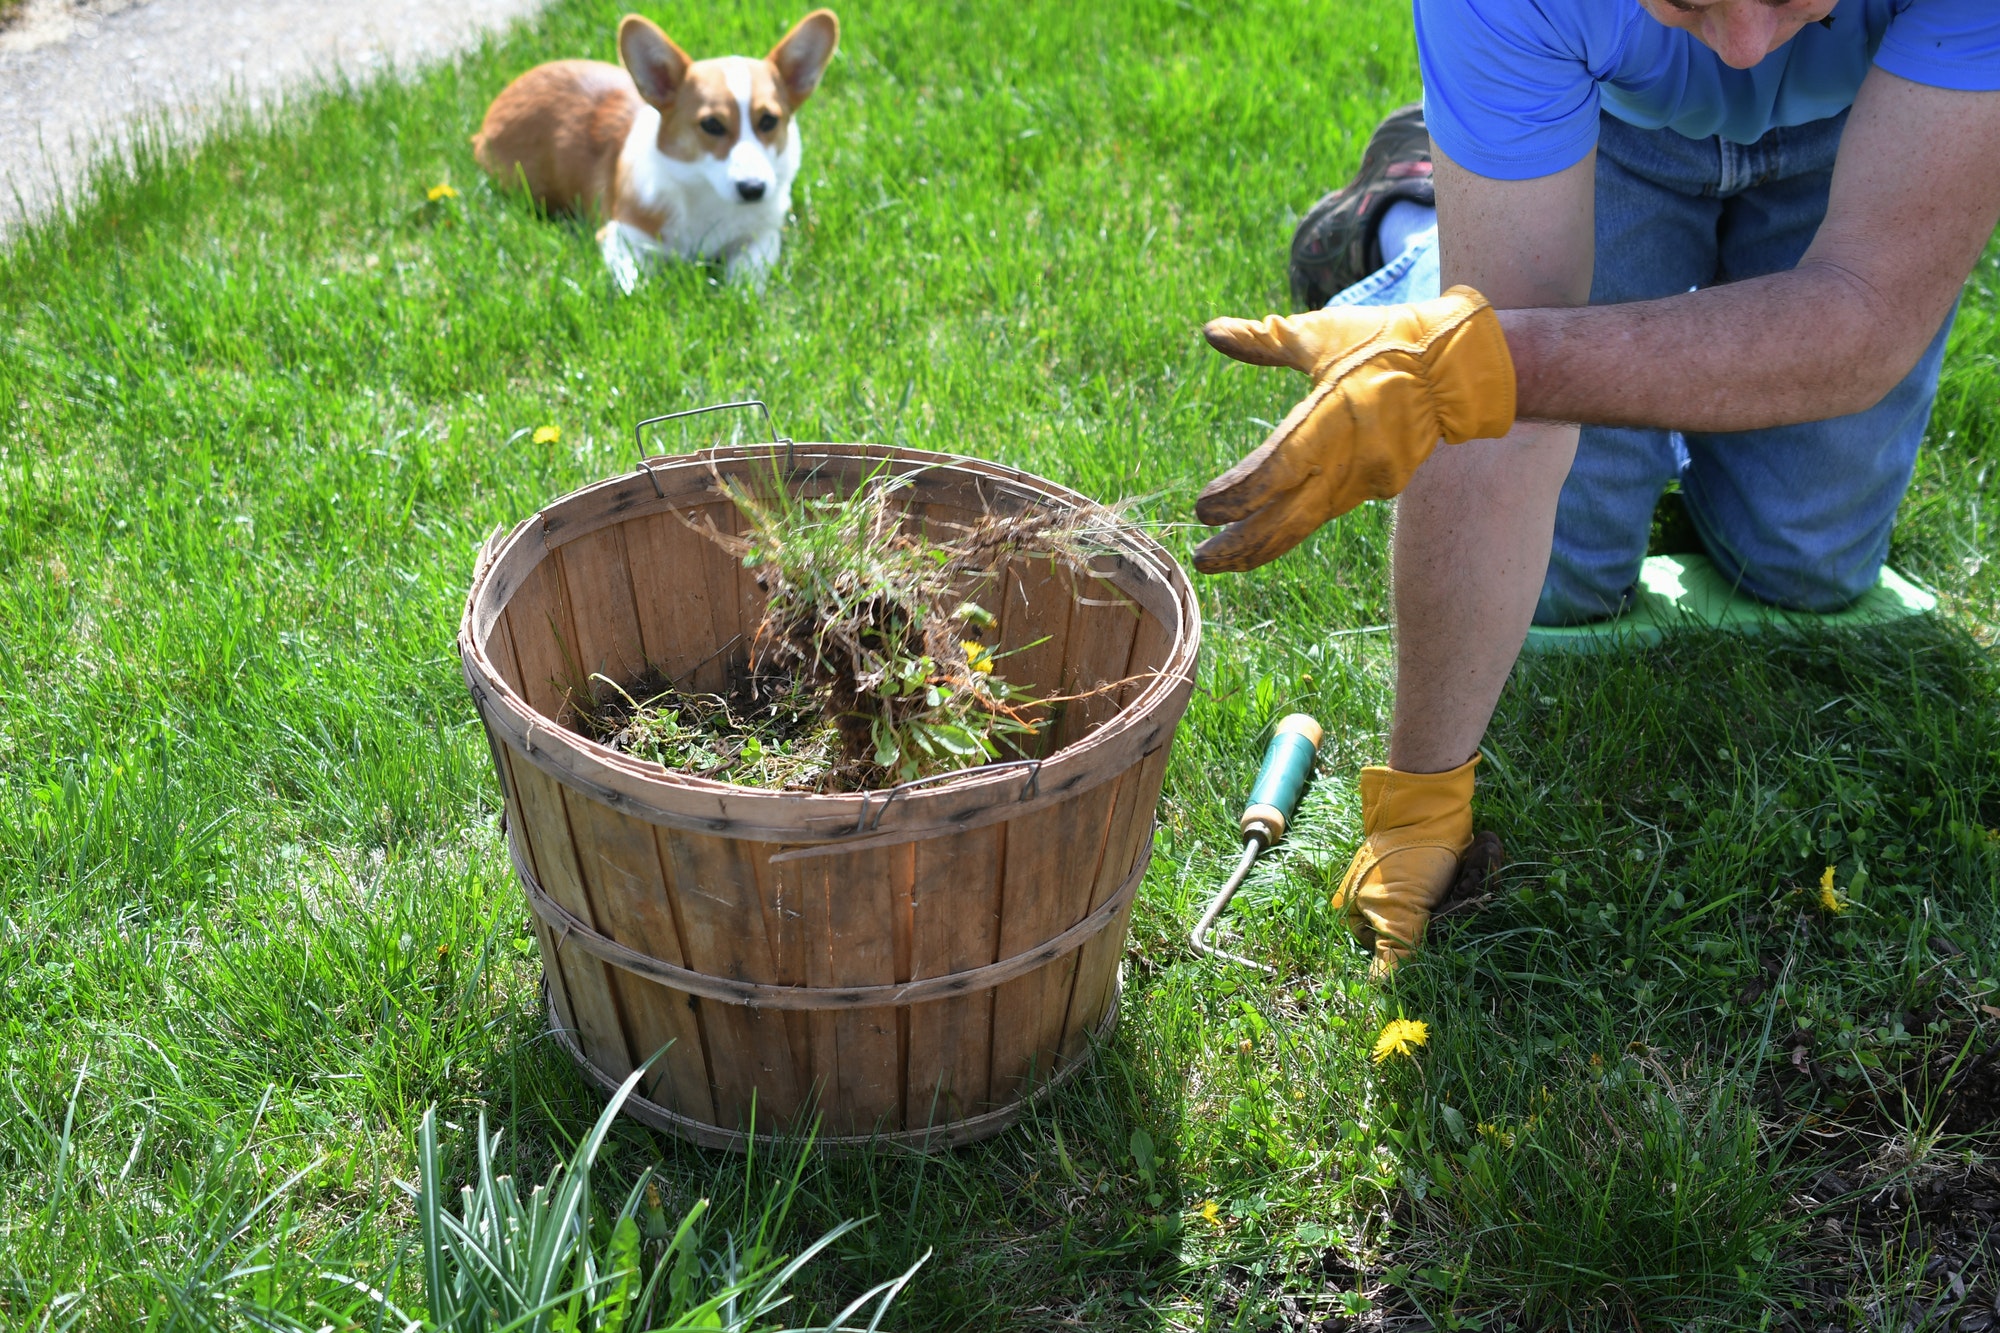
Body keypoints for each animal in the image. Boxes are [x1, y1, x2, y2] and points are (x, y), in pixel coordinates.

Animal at [474, 12, 836, 288]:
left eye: (769, 120)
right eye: (712, 125)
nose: (753, 189)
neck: (704, 194)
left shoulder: (764, 234)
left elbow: (748, 273)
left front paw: (739, 294)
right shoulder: (621, 235)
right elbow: (634, 283)